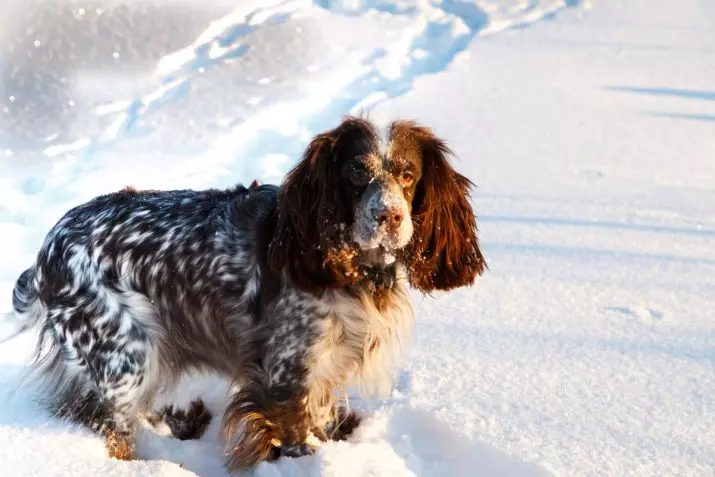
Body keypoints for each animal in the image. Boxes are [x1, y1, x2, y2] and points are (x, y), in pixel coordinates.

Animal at [8, 116, 486, 468]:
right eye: (356, 171)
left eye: (408, 173)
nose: (388, 216)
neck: (348, 268)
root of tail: (47, 250)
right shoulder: (284, 374)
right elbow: (296, 437)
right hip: (126, 356)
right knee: (112, 430)